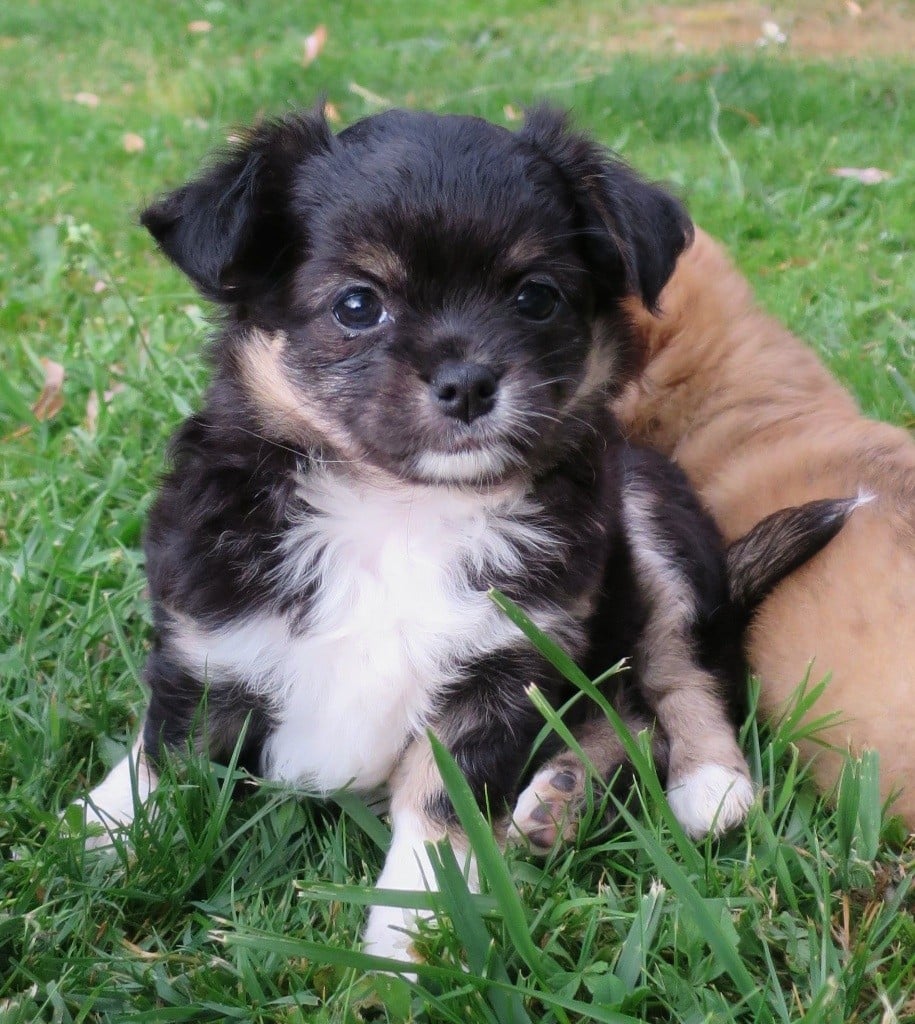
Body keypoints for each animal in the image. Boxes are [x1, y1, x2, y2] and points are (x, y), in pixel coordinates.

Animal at [71, 106, 854, 963]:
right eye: (357, 305)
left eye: (536, 297)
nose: (470, 381)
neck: (398, 507)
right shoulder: (207, 637)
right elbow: (168, 746)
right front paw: (115, 831)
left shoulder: (500, 675)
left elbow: (438, 810)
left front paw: (407, 936)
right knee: (626, 707)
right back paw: (562, 797)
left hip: (646, 516)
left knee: (676, 673)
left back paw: (704, 783)